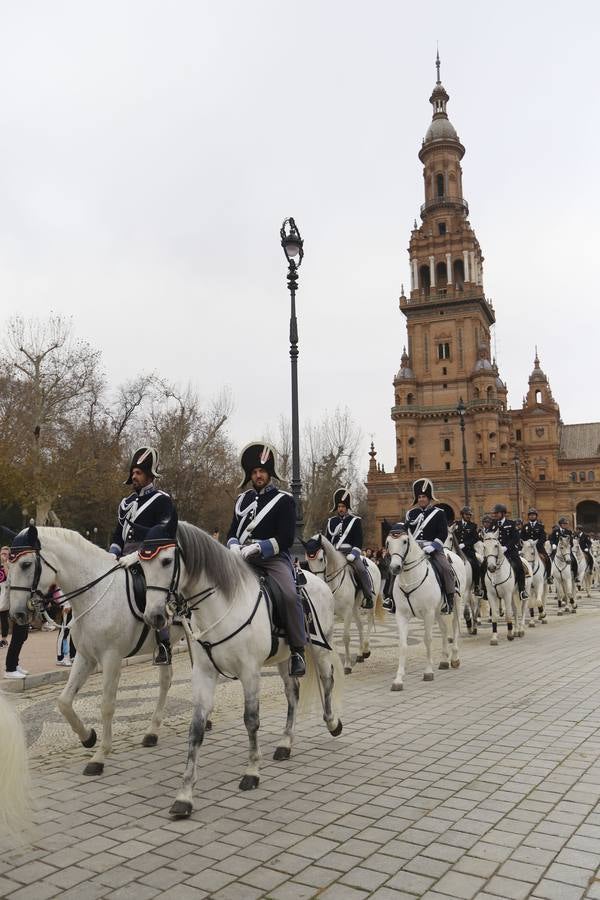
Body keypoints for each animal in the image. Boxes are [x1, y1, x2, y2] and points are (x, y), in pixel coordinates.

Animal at [8, 528, 182, 772]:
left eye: (25, 564)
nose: (17, 614)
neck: (94, 593)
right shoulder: (85, 657)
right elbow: (63, 702)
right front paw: (88, 737)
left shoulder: (111, 659)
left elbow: (107, 705)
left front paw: (100, 756)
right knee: (167, 680)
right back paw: (153, 732)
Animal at [133, 524, 344, 820]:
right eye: (141, 564)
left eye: (165, 561)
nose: (153, 616)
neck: (220, 606)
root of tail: (318, 581)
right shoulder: (204, 674)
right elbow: (196, 729)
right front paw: (184, 796)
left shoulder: (250, 673)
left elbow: (251, 720)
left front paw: (252, 772)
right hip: (285, 658)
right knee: (293, 693)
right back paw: (285, 743)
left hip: (319, 647)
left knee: (327, 680)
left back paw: (333, 723)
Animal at [304, 536, 384, 676]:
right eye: (308, 560)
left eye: (321, 559)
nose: (319, 581)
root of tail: (371, 561)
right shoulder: (328, 614)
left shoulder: (346, 612)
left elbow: (346, 638)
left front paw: (347, 666)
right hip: (355, 608)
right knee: (360, 626)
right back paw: (360, 654)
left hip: (370, 604)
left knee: (369, 622)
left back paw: (366, 650)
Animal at [386, 532, 466, 692]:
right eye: (387, 542)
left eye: (404, 541)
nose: (395, 567)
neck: (410, 578)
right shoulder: (401, 615)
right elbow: (403, 644)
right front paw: (398, 679)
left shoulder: (428, 613)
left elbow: (428, 640)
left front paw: (428, 672)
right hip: (438, 611)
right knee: (444, 629)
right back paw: (444, 660)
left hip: (456, 605)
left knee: (454, 628)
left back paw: (454, 658)